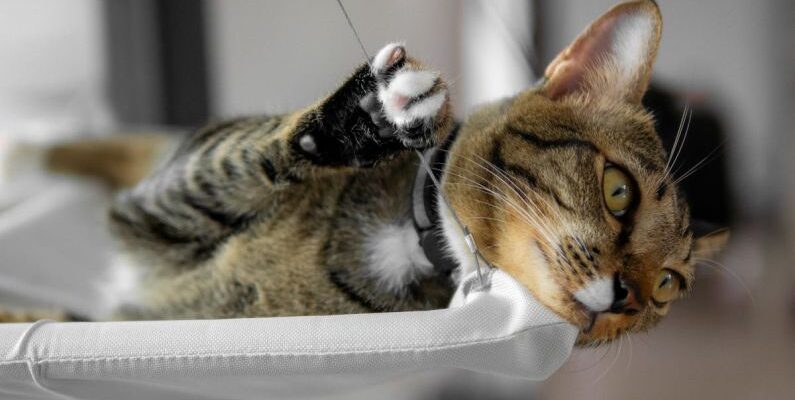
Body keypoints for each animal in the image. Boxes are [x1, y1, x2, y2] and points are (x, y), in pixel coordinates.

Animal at [0, 0, 728, 346]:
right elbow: (247, 151)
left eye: (668, 286)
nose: (629, 299)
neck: (412, 243)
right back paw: (31, 149)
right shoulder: (150, 211)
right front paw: (364, 117)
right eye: (618, 191)